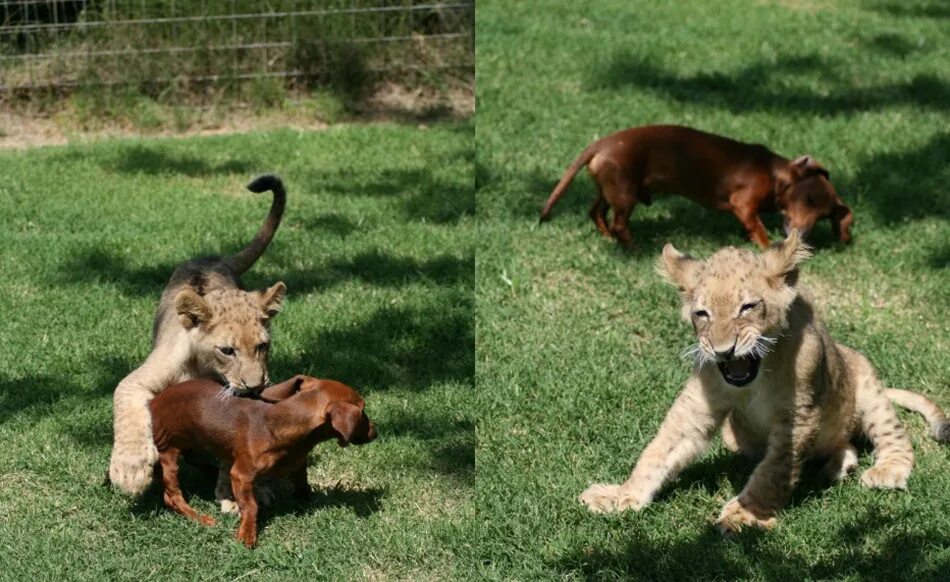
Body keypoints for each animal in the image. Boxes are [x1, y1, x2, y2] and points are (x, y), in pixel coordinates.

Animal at [149, 376, 376, 548]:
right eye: (362, 411)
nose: (377, 430)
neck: (277, 426)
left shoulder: (298, 463)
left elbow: (302, 484)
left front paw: (306, 500)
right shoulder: (241, 474)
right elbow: (251, 505)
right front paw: (247, 533)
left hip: (197, 442)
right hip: (168, 455)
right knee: (172, 497)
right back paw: (200, 517)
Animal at [540, 125, 860, 249]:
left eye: (823, 216)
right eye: (808, 199)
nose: (802, 237)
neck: (772, 172)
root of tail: (600, 144)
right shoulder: (744, 205)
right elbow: (758, 228)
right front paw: (767, 246)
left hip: (609, 191)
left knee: (595, 212)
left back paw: (607, 237)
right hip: (624, 194)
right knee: (619, 224)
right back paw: (633, 246)